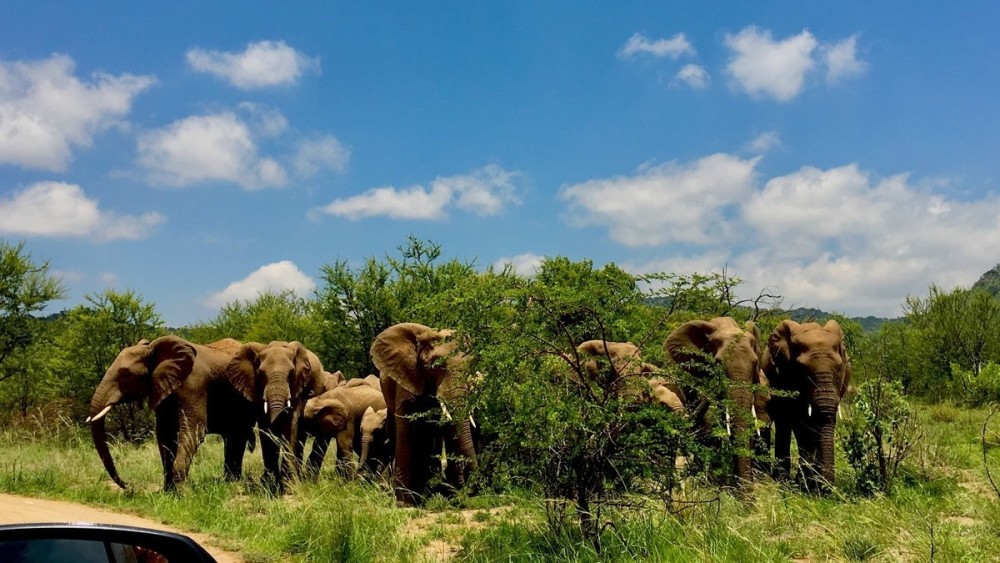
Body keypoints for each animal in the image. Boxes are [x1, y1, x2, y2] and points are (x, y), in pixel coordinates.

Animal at [86, 338, 256, 492]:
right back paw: (229, 482)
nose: (127, 485)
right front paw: (169, 492)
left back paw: (231, 484)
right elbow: (165, 435)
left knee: (237, 436)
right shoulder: (162, 387)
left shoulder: (194, 384)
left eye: (125, 375)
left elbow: (193, 430)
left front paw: (183, 494)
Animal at [227, 342, 324, 492]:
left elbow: (290, 426)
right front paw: (269, 484)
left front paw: (289, 485)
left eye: (291, 372)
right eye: (261, 373)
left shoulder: (297, 386)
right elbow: (265, 429)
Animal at [370, 322, 478, 506]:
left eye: (470, 365)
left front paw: (453, 497)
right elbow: (405, 431)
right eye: (436, 365)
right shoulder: (407, 376)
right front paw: (404, 504)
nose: (471, 494)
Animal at [764, 320, 852, 492]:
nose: (828, 490)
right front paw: (806, 485)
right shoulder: (783, 376)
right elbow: (801, 425)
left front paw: (812, 485)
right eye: (802, 370)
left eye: (839, 369)